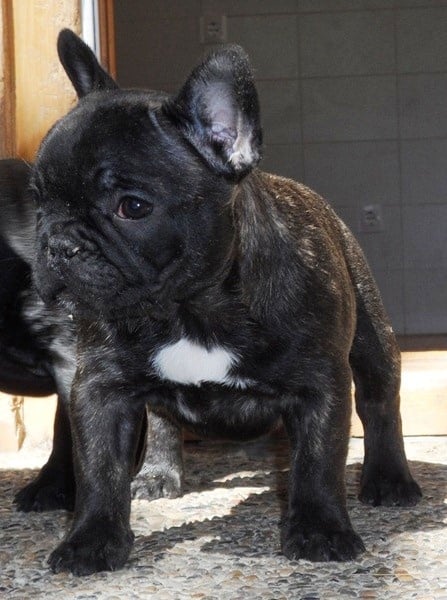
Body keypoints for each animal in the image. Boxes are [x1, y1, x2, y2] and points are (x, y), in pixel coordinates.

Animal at [24, 29, 421, 575]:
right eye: (37, 200)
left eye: (133, 207)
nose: (59, 245)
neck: (188, 309)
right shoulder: (100, 389)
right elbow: (99, 471)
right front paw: (91, 539)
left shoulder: (320, 385)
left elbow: (318, 462)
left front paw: (321, 530)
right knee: (163, 418)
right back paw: (158, 473)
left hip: (372, 339)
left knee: (382, 402)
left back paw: (390, 480)